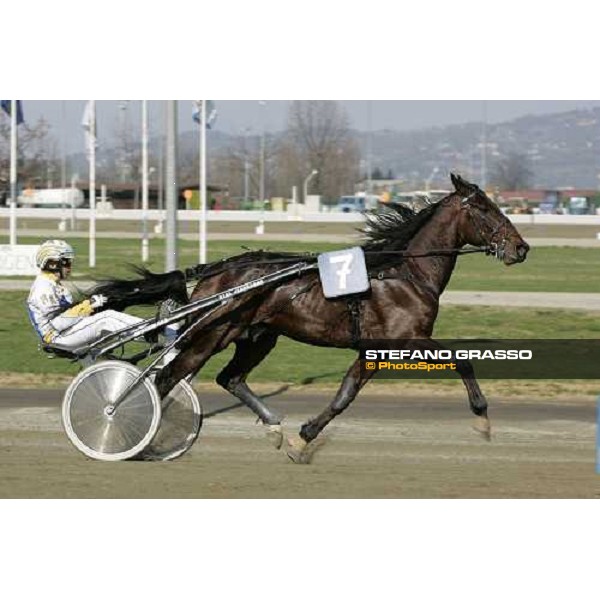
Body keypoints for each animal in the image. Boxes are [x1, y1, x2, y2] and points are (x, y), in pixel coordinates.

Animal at [90, 175, 528, 464]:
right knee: (167, 377)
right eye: (486, 209)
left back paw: (271, 426)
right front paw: (482, 418)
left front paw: (302, 438)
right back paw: (136, 436)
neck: (404, 273)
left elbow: (346, 393)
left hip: (258, 335)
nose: (521, 248)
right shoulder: (407, 338)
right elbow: (461, 360)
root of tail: (217, 270)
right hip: (213, 333)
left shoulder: (374, 349)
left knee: (230, 377)